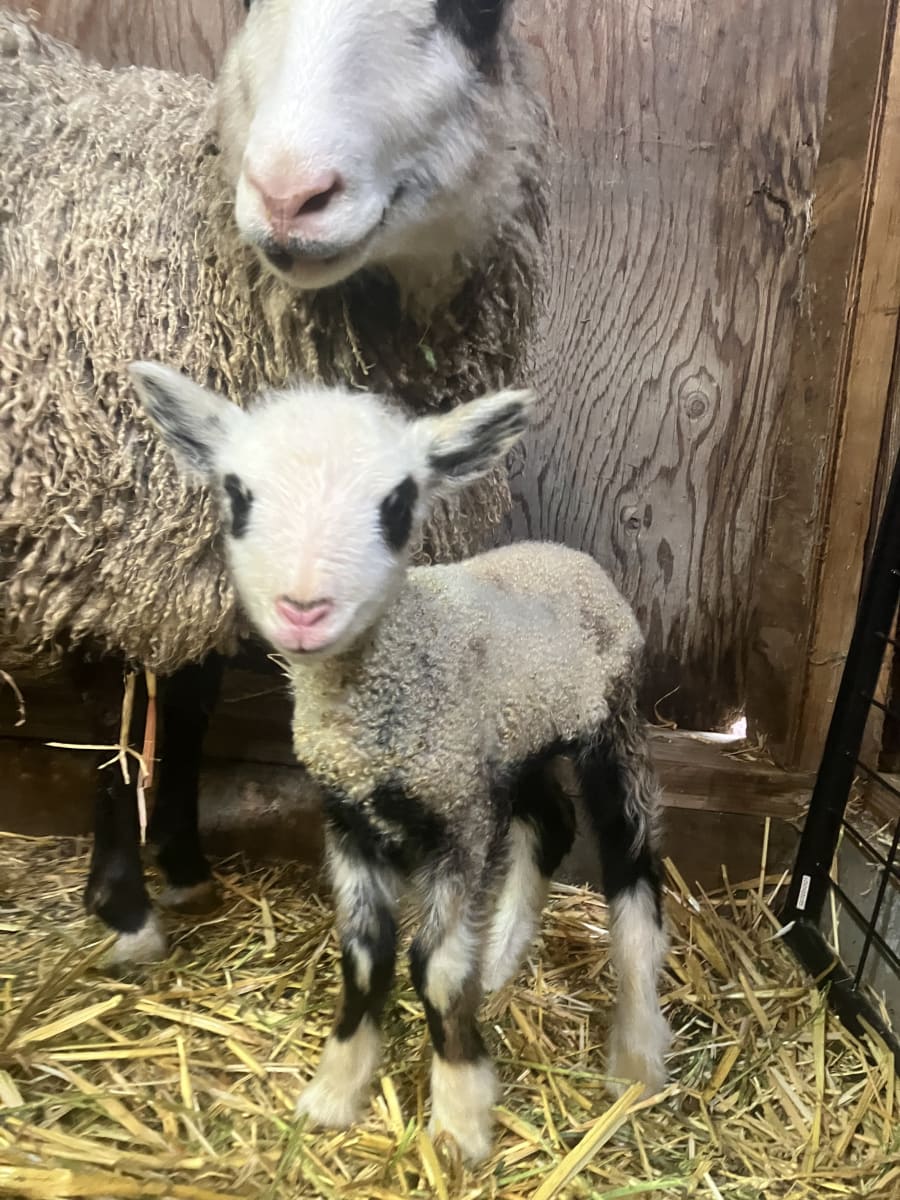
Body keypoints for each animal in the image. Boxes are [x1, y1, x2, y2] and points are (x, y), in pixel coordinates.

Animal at [0, 1, 547, 960]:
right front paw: (125, 904)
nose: (290, 196)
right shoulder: (102, 521)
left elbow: (192, 705)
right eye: (253, 7)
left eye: (475, 14)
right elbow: (116, 721)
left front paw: (183, 866)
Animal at [129, 360, 671, 1164]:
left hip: (609, 723)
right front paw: (336, 1091)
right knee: (549, 823)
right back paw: (501, 962)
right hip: (510, 748)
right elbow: (366, 955)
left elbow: (435, 969)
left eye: (398, 500)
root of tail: (566, 556)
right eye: (237, 492)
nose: (303, 609)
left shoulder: (456, 822)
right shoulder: (353, 813)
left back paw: (635, 1056)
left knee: (631, 864)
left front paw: (460, 1116)